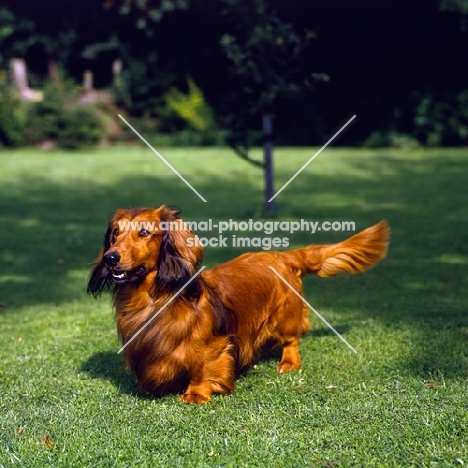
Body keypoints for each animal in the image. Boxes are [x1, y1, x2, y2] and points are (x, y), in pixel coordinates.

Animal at [87, 207, 388, 404]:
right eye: (115, 234)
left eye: (143, 233)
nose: (111, 258)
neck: (154, 297)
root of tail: (281, 256)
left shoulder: (213, 346)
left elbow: (202, 368)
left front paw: (196, 393)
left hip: (285, 317)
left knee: (292, 339)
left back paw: (288, 363)